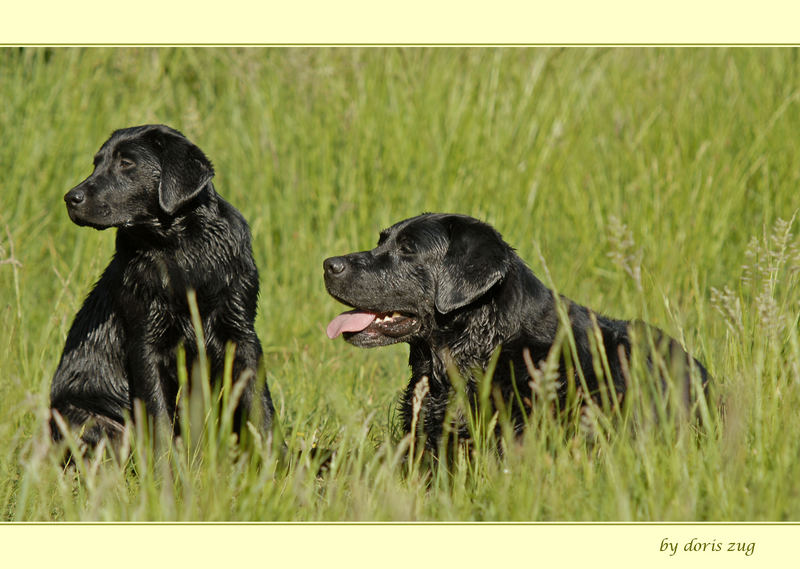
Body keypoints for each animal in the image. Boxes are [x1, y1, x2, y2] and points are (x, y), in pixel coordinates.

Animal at [52, 124, 276, 448]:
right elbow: (158, 418)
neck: (181, 249)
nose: (70, 198)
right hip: (86, 417)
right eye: (96, 164)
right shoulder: (146, 343)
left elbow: (261, 409)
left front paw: (275, 458)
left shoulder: (241, 333)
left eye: (126, 163)